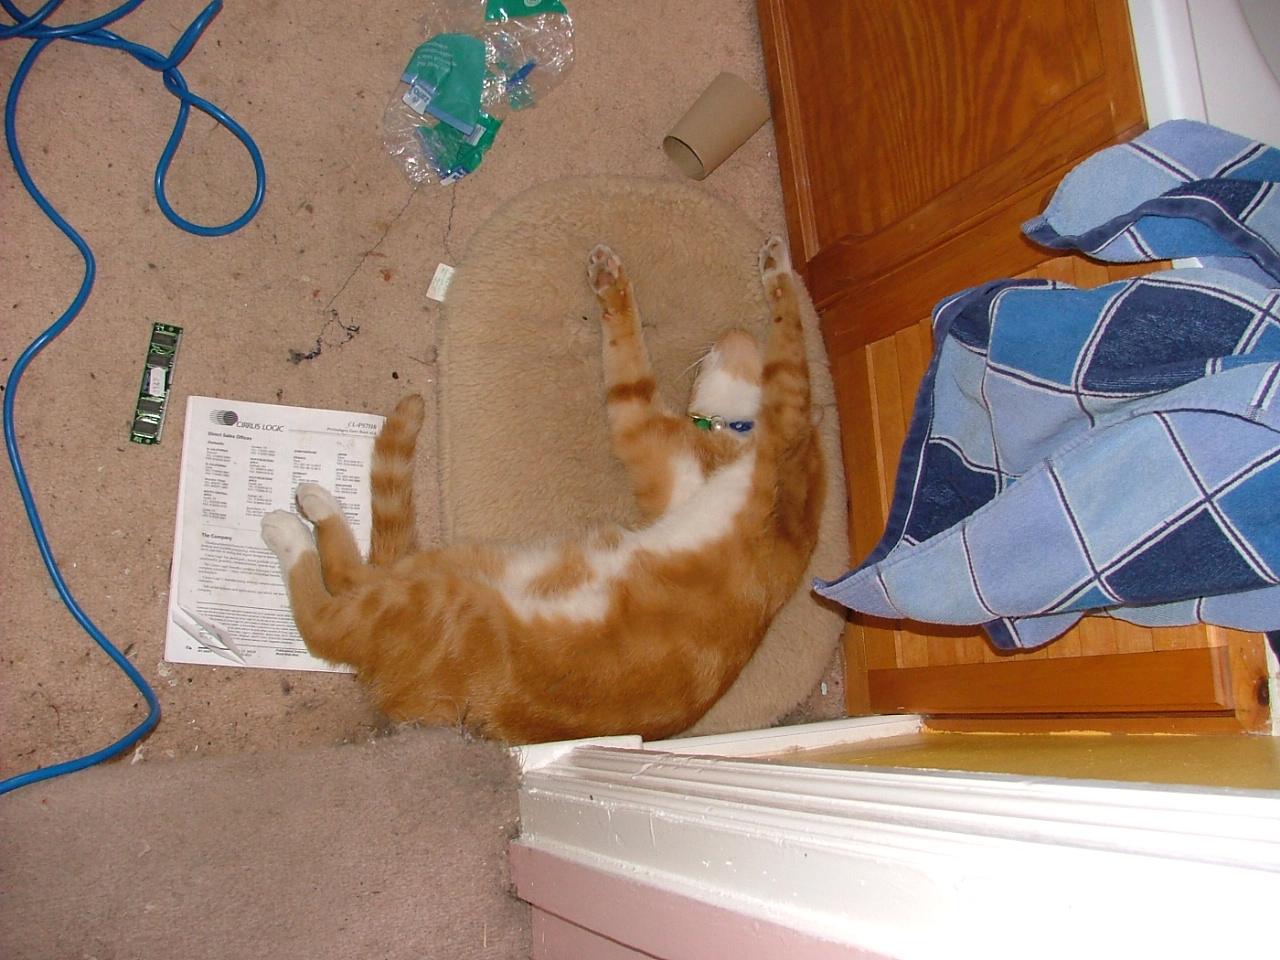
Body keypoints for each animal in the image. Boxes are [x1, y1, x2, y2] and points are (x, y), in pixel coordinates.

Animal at [260, 236, 824, 744]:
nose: (725, 333)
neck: (733, 440)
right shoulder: (659, 452)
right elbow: (631, 363)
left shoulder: (772, 413)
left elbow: (788, 337)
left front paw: (777, 266)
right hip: (448, 569)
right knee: (348, 578)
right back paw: (316, 507)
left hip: (429, 601)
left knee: (325, 616)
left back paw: (289, 526)